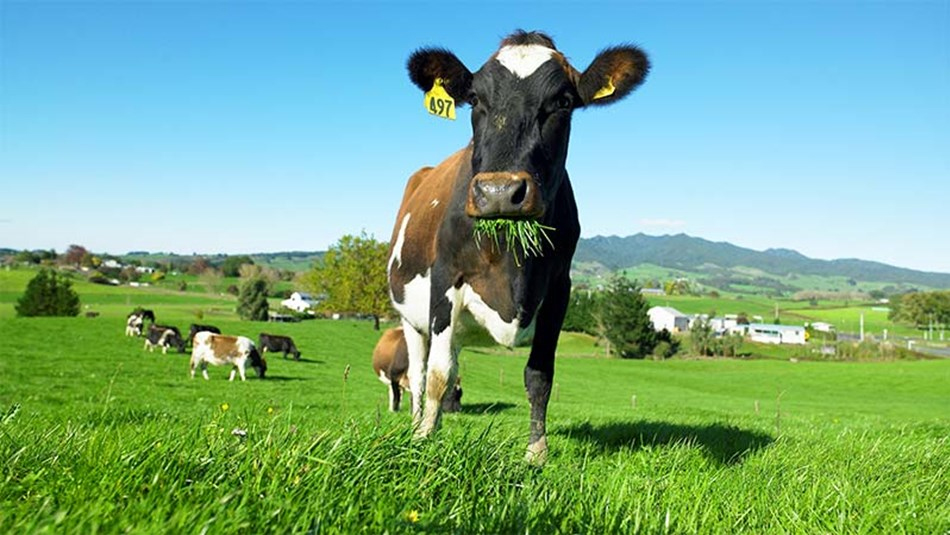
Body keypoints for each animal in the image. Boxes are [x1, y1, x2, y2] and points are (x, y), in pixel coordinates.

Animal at [390, 30, 652, 464]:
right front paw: (425, 440)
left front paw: (536, 451)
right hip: (410, 318)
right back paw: (415, 427)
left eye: (563, 102)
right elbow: (439, 374)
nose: (499, 192)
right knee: (421, 371)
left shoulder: (560, 288)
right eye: (475, 99)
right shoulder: (444, 280)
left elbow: (539, 375)